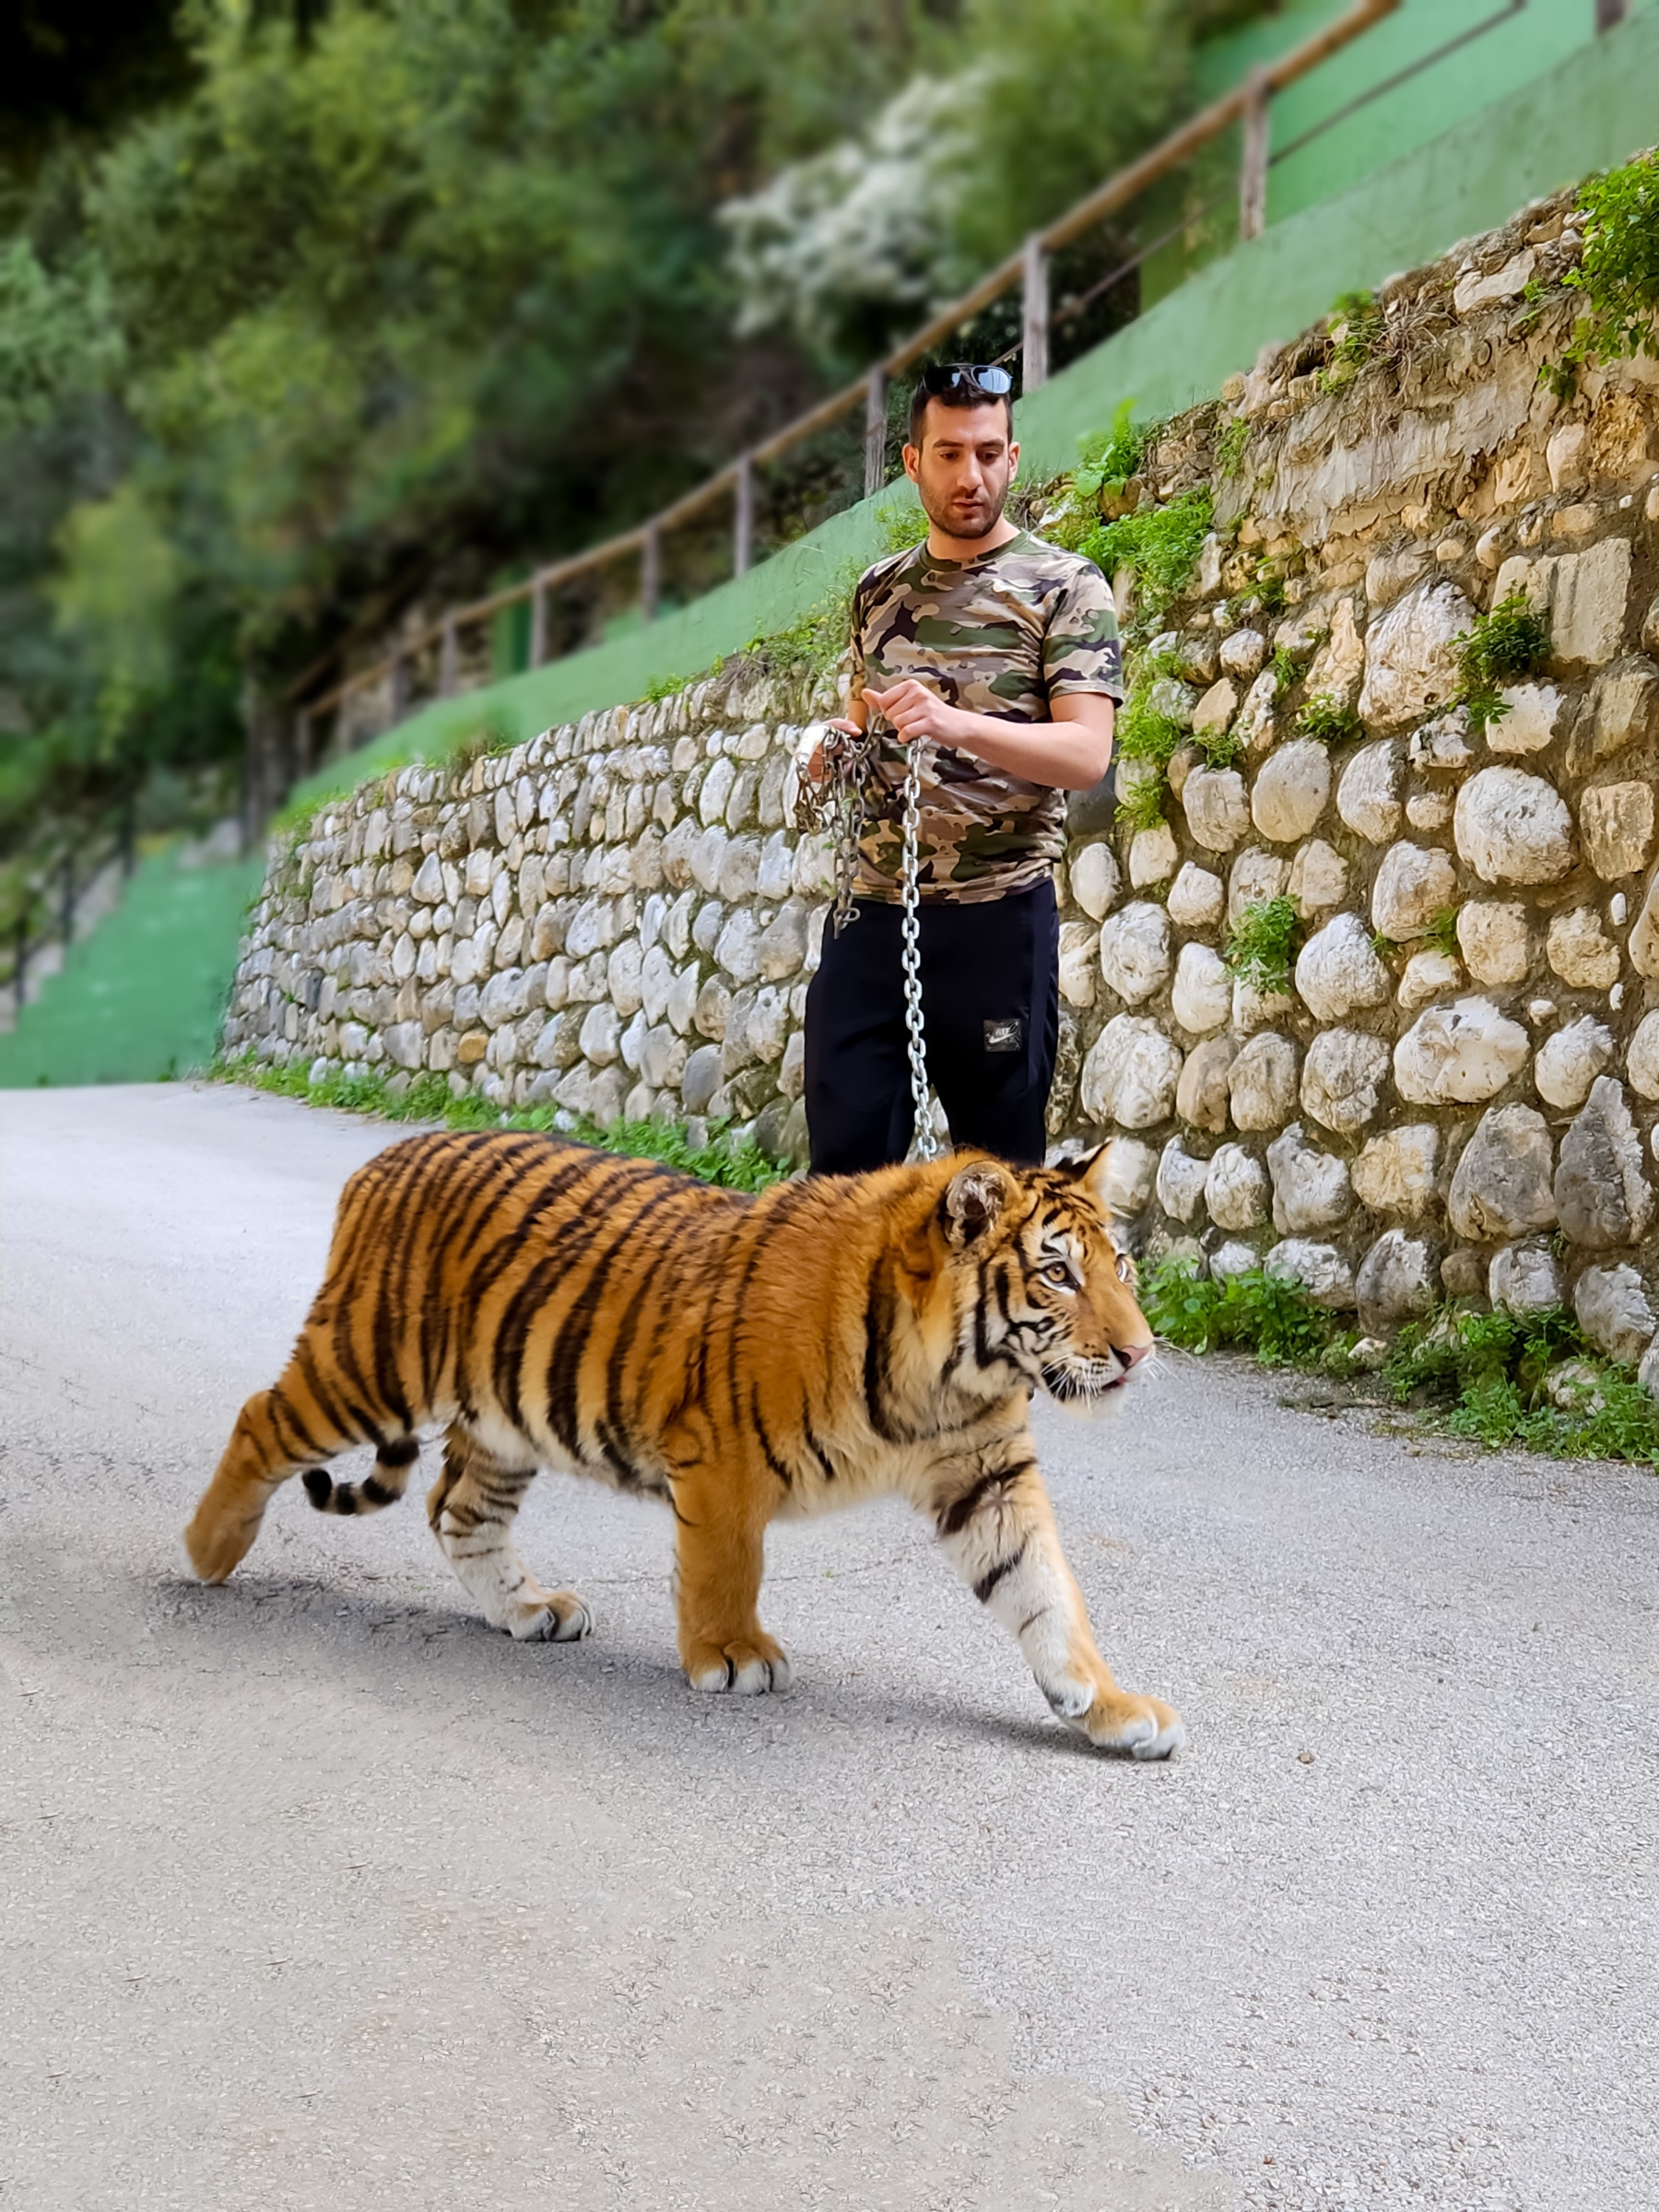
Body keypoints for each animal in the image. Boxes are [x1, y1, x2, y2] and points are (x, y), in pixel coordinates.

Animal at [184, 1132, 1185, 1751]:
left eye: (1123, 1268)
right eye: (1058, 1275)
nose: (1139, 1353)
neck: (948, 1376)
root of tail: (381, 1158)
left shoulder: (986, 1473)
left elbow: (1047, 1592)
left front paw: (1107, 1707)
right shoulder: (723, 1455)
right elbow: (726, 1566)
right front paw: (731, 1656)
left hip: (504, 1415)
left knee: (456, 1509)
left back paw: (526, 1609)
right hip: (369, 1367)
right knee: (260, 1418)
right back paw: (205, 1551)